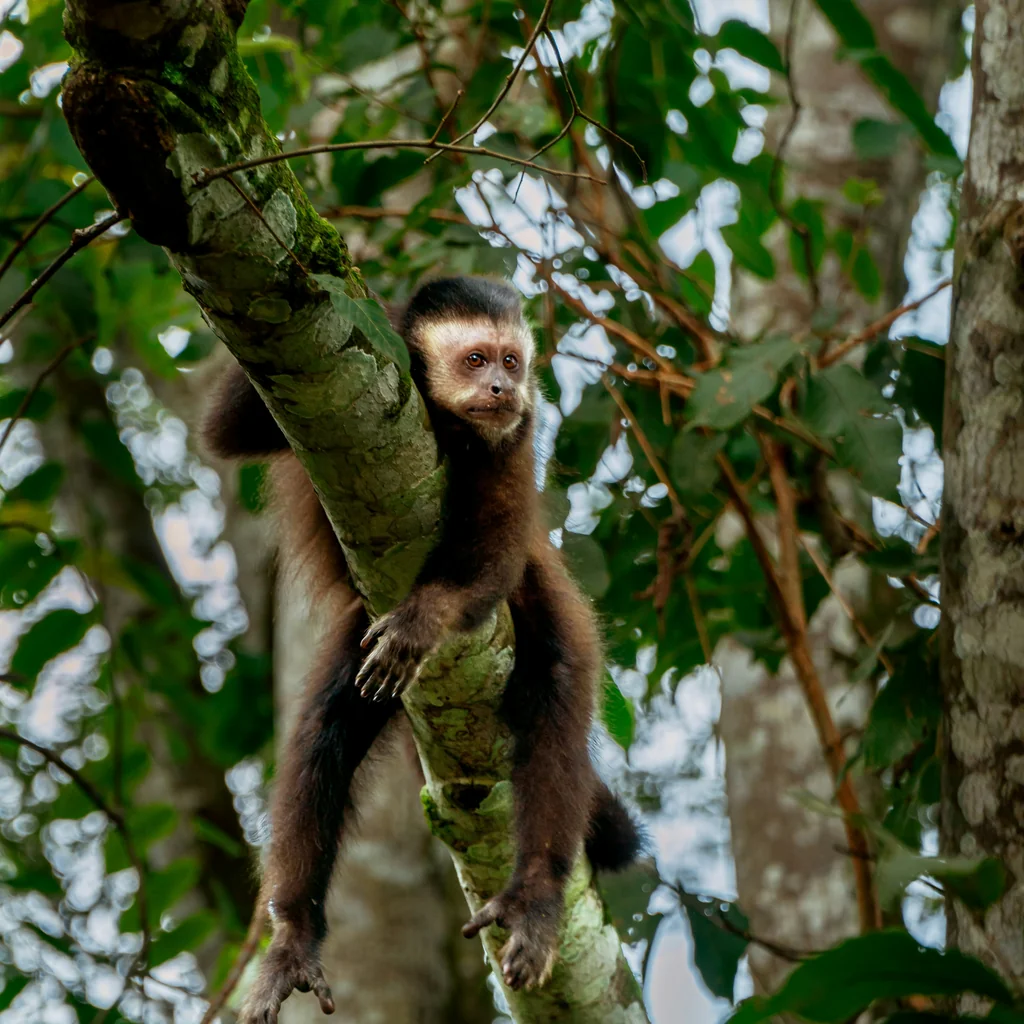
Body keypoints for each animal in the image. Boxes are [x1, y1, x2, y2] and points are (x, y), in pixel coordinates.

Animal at [204, 277, 642, 1022]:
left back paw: (535, 896)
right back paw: (293, 933)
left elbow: (495, 550)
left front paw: (424, 618)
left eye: (511, 362)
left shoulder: (518, 434)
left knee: (554, 689)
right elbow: (226, 431)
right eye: (475, 360)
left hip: (545, 604)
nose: (501, 387)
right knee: (325, 728)